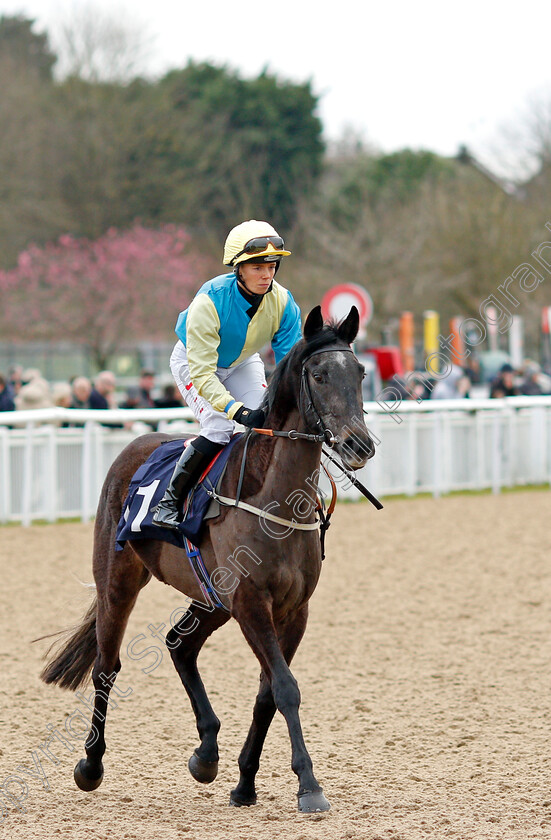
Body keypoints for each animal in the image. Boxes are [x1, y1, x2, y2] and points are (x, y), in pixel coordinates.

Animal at [41, 306, 378, 812]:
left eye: (359, 373)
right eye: (319, 375)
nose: (360, 445)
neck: (274, 499)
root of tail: (133, 447)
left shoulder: (292, 610)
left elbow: (268, 693)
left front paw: (245, 783)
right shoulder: (252, 603)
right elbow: (286, 688)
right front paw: (309, 785)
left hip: (212, 597)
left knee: (180, 645)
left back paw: (206, 753)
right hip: (118, 581)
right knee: (106, 667)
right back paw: (91, 765)